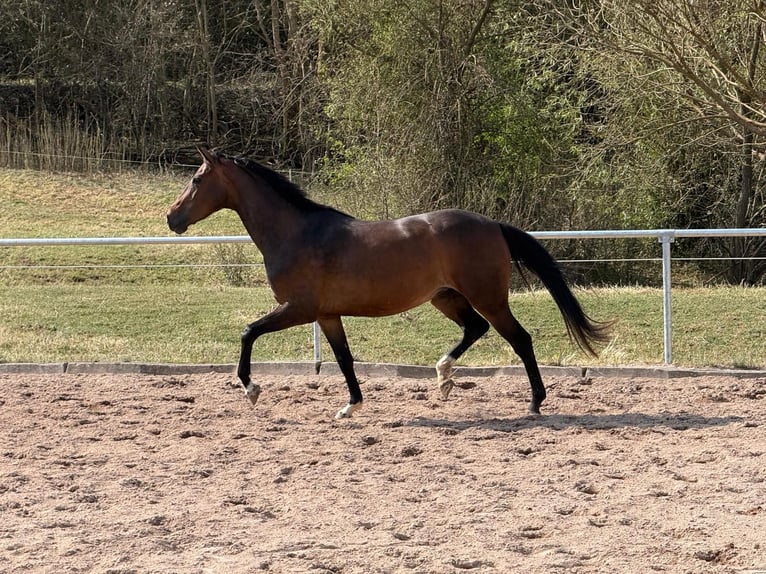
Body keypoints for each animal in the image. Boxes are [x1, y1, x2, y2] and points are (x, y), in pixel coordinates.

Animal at [167, 147, 611, 419]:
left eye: (196, 179)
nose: (172, 218)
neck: (296, 234)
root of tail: (493, 225)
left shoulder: (299, 309)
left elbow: (248, 332)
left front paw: (252, 388)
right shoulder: (326, 315)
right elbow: (344, 359)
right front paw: (351, 407)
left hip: (488, 297)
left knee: (519, 339)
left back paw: (534, 402)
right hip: (446, 297)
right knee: (475, 328)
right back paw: (444, 377)